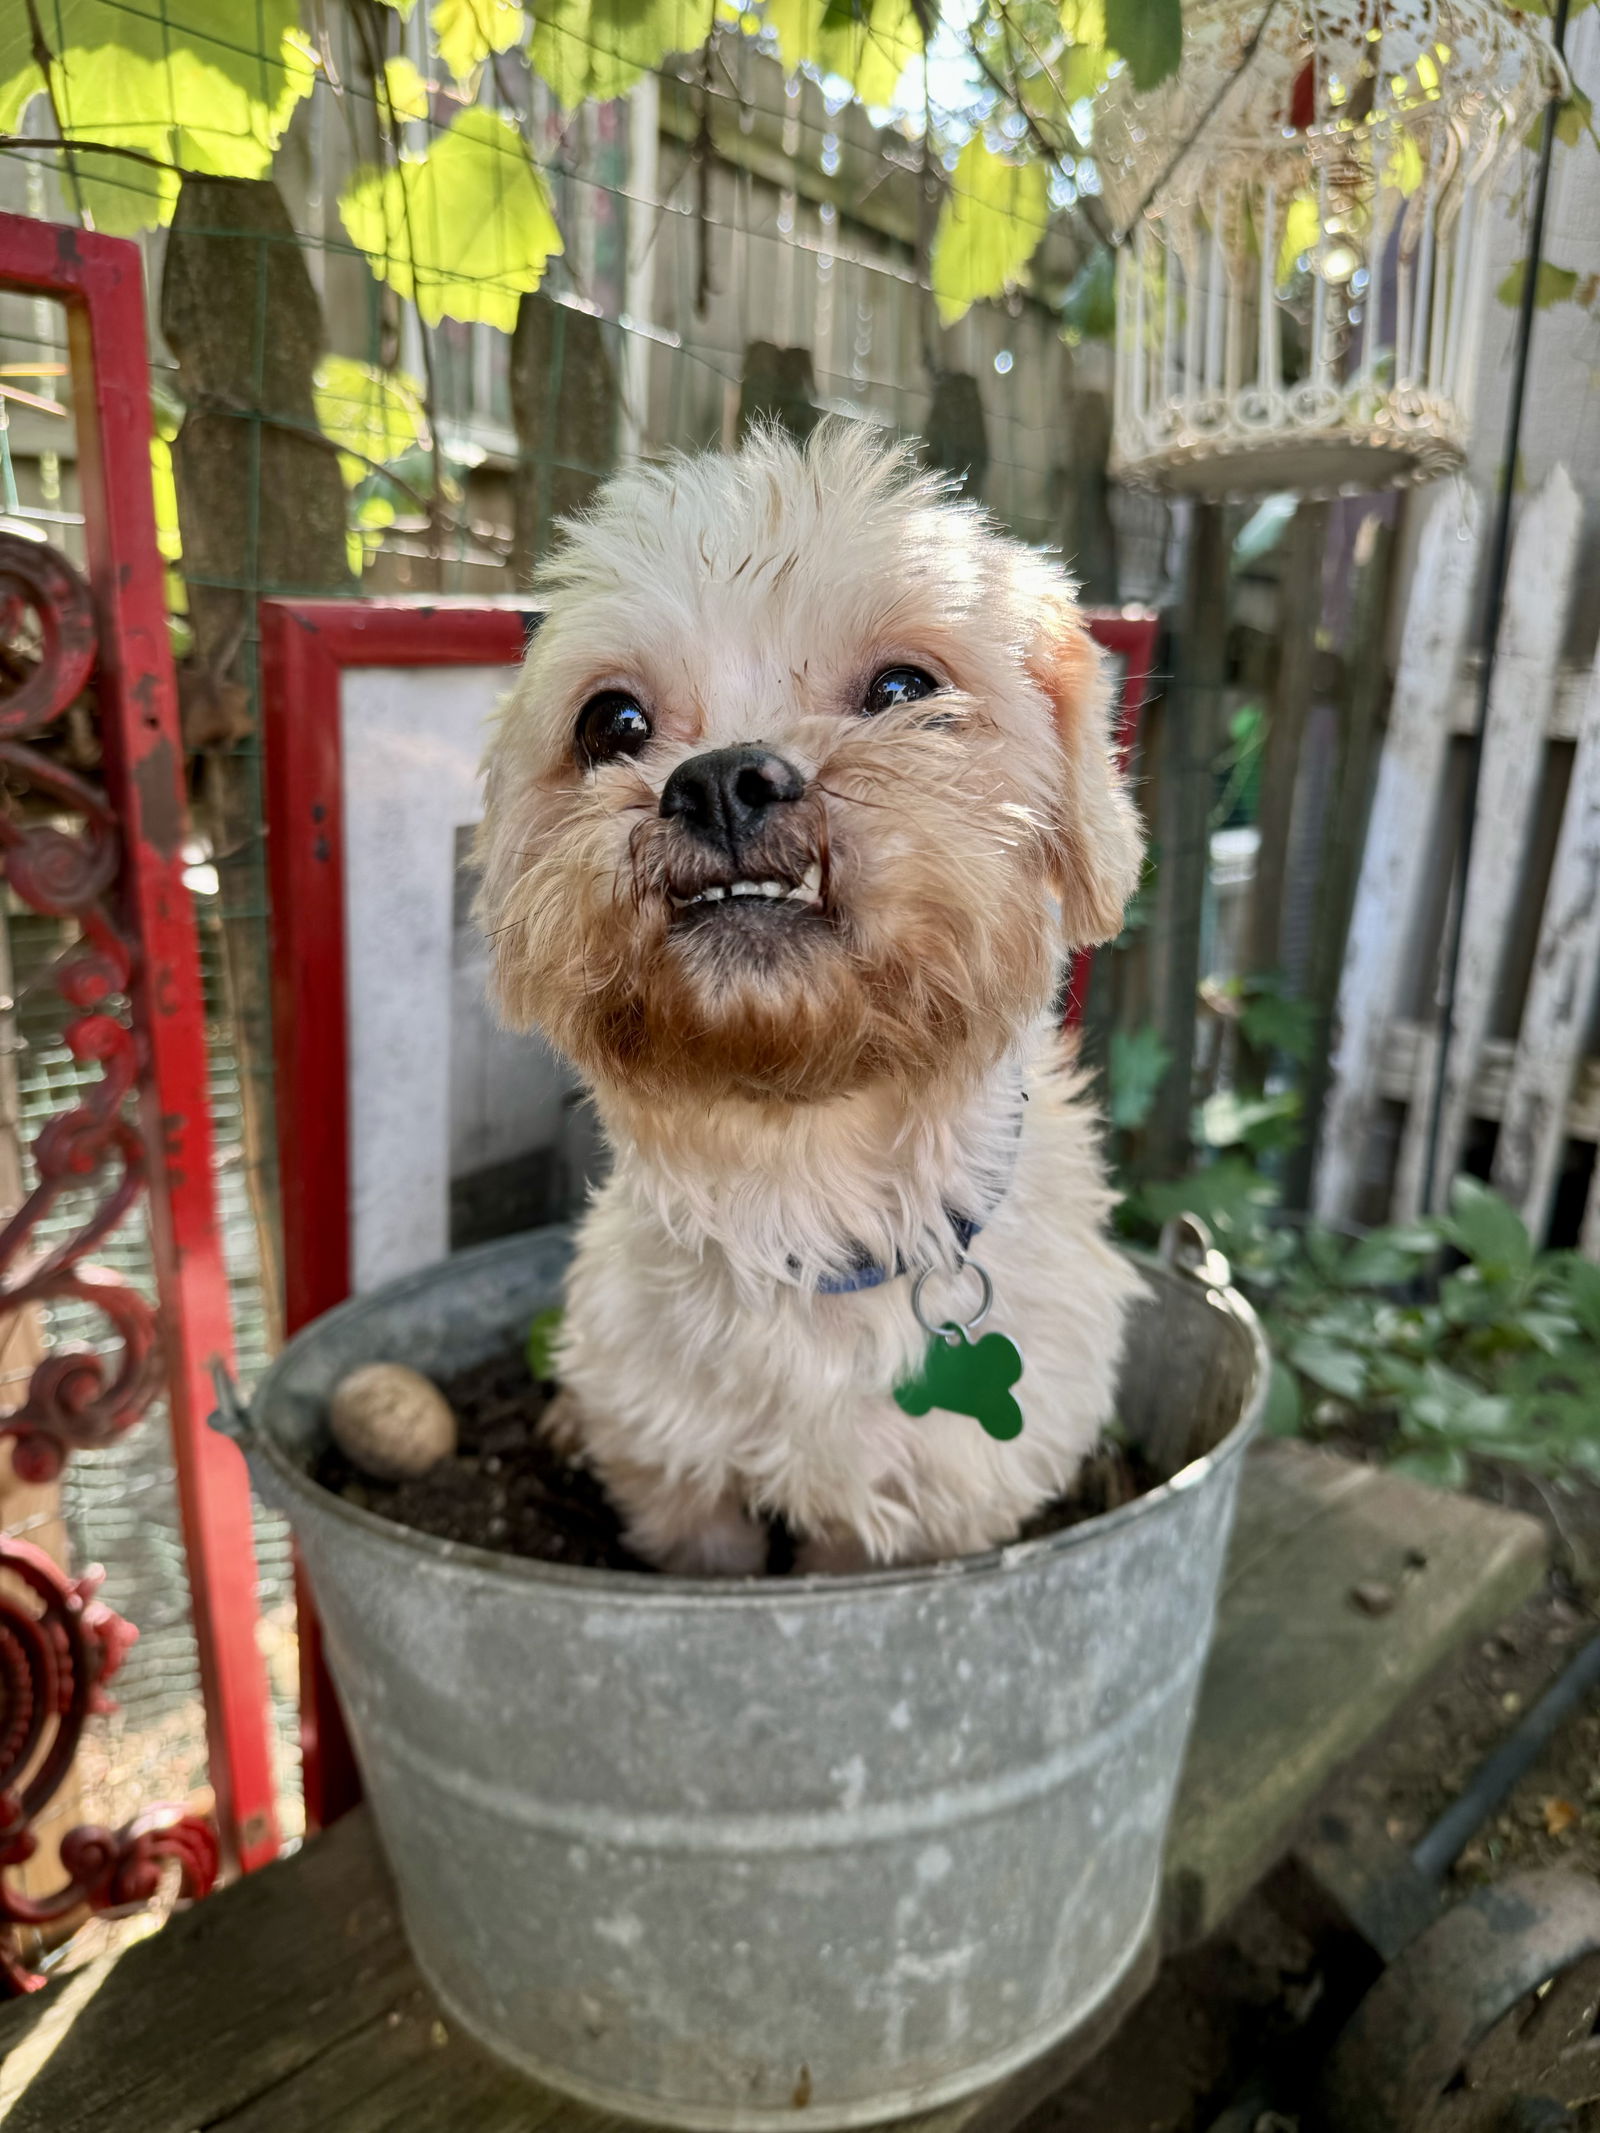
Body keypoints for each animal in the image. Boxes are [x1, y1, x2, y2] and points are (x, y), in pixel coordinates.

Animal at [480, 424, 1152, 1578]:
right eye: (611, 721)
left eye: (902, 688)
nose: (719, 780)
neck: (806, 1190)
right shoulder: (677, 1486)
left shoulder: (918, 1518)